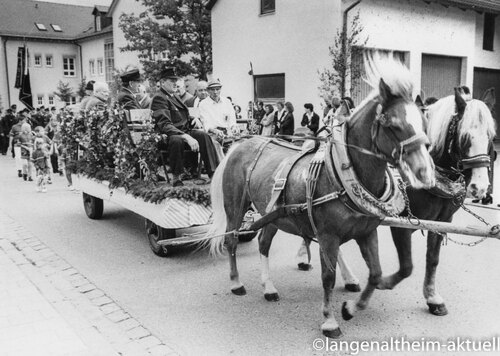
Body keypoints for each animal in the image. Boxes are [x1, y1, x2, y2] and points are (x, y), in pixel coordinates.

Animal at [207, 56, 434, 336]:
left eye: (424, 122)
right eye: (392, 124)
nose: (424, 171)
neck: (343, 174)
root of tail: (240, 145)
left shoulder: (366, 231)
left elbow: (376, 273)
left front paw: (352, 307)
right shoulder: (328, 235)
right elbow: (328, 277)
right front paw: (329, 320)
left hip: (272, 214)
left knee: (263, 243)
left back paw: (268, 287)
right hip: (236, 207)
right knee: (231, 240)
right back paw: (236, 283)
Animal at [340, 89, 496, 320]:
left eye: (492, 137)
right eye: (465, 136)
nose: (480, 187)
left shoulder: (442, 221)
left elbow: (432, 259)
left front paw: (432, 298)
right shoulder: (402, 223)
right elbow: (406, 266)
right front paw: (383, 282)